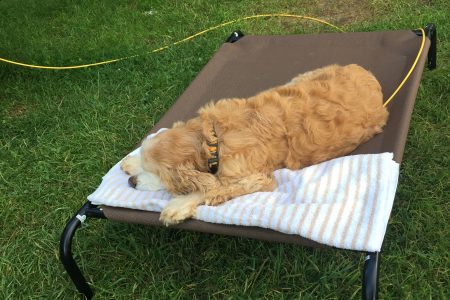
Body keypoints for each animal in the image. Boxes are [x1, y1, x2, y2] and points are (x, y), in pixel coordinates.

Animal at [121, 64, 388, 224]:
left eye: (158, 174)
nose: (131, 183)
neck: (211, 140)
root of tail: (369, 74)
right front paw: (130, 162)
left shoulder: (259, 178)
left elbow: (212, 187)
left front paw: (177, 206)